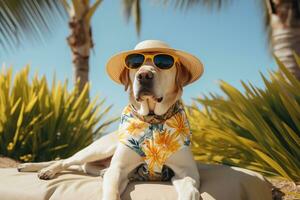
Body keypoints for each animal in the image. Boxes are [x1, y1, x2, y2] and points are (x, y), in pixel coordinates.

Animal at [16, 40, 204, 200]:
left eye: (164, 63)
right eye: (135, 64)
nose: (144, 75)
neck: (152, 120)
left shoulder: (187, 173)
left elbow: (190, 189)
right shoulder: (118, 170)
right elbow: (111, 192)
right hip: (99, 149)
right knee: (64, 161)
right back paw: (41, 169)